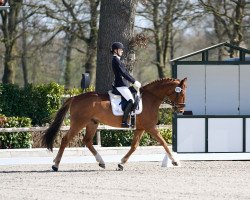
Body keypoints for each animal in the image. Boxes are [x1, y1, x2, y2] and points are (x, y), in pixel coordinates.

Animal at [42, 77, 187, 171]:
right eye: (181, 93)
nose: (181, 110)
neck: (151, 98)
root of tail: (75, 97)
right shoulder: (150, 127)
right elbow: (163, 142)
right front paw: (174, 161)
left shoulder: (141, 128)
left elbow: (134, 146)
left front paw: (121, 164)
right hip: (79, 123)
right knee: (65, 139)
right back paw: (55, 165)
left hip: (92, 123)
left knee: (87, 141)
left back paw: (101, 162)